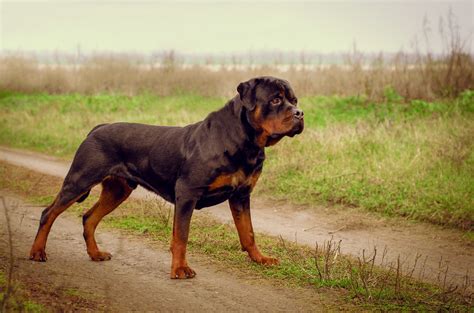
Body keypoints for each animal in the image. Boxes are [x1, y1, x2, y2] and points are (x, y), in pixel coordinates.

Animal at [29, 75, 304, 278]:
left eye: (294, 100)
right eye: (276, 100)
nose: (300, 113)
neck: (244, 141)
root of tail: (98, 128)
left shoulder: (241, 195)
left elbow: (248, 233)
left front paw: (260, 258)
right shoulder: (187, 194)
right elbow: (181, 236)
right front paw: (180, 269)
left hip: (118, 190)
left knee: (89, 217)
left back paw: (95, 254)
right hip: (79, 180)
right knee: (49, 213)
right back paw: (37, 252)